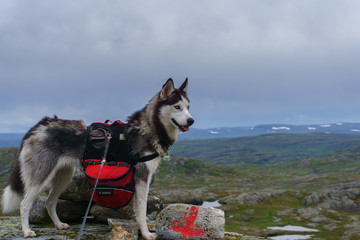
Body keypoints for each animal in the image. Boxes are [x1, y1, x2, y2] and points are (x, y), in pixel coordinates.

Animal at [2, 78, 194, 239]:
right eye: (177, 107)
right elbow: (141, 210)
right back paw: (26, 231)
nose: (191, 120)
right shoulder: (142, 177)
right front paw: (146, 234)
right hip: (41, 175)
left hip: (64, 176)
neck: (151, 127)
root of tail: (39, 125)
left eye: (188, 107)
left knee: (49, 202)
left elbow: (137, 210)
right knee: (24, 204)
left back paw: (58, 225)